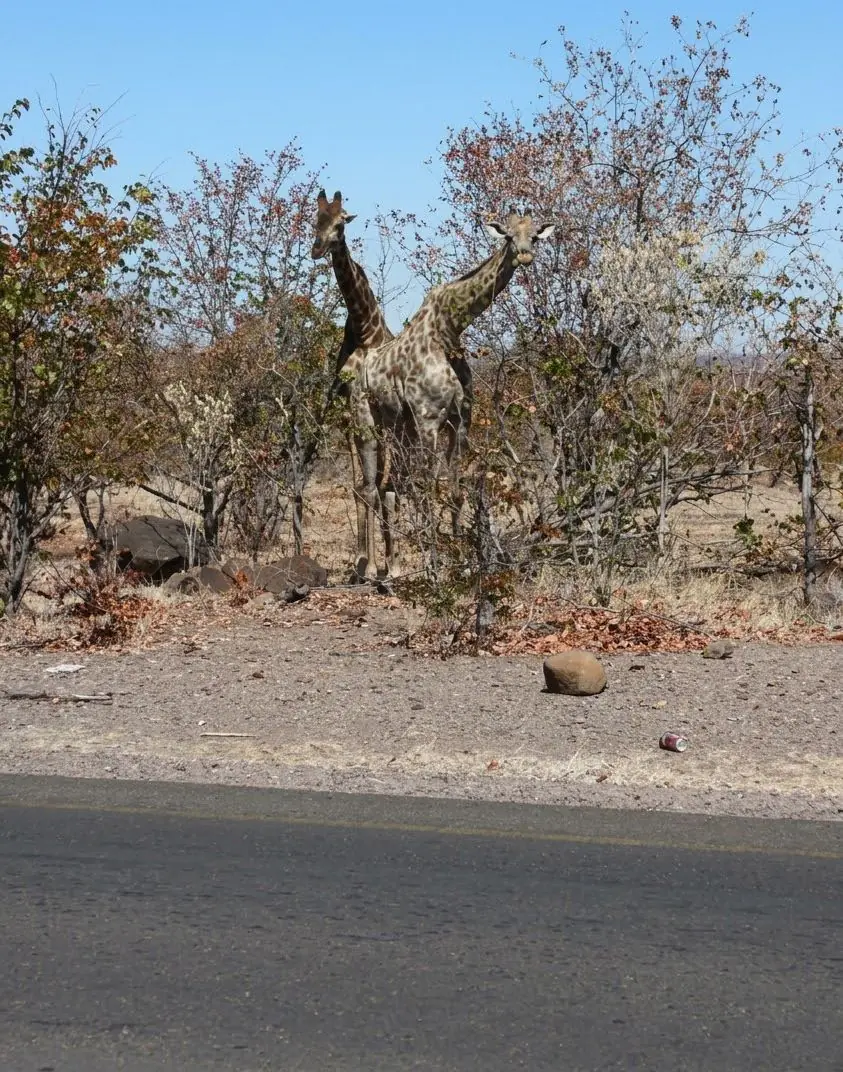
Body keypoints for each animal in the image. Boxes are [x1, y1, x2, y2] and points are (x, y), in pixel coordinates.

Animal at [341, 209, 555, 580]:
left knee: (386, 486)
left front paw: (462, 565)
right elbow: (429, 487)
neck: (449, 328)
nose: (526, 255)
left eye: (534, 236)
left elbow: (455, 491)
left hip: (398, 426)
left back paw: (387, 568)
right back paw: (368, 570)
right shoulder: (429, 419)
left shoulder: (460, 420)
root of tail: (360, 364)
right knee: (367, 487)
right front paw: (433, 568)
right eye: (508, 236)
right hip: (365, 420)